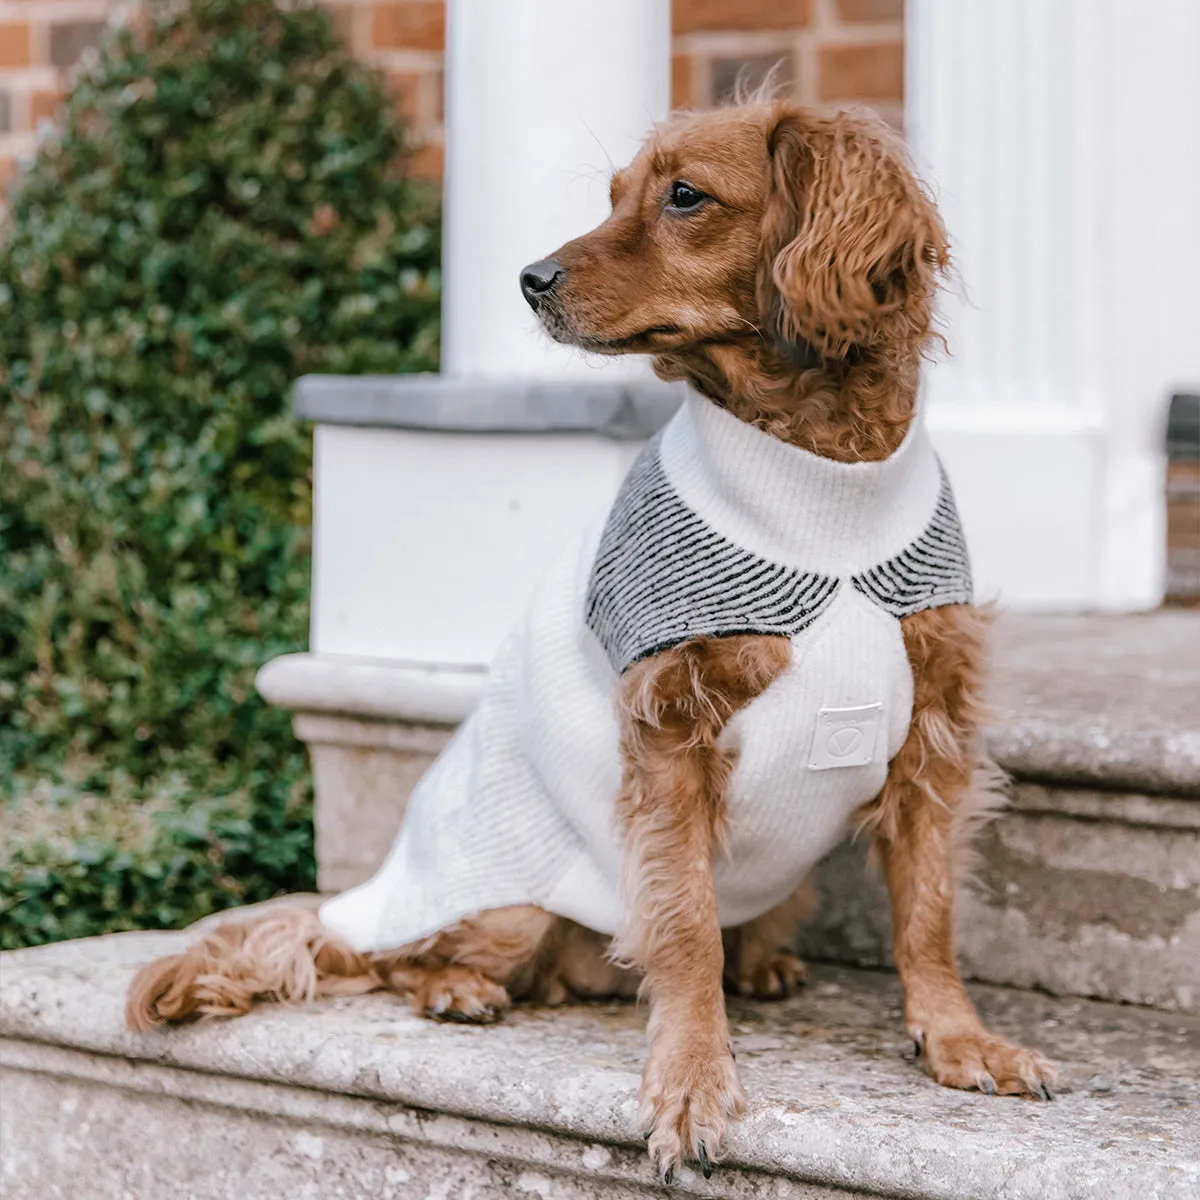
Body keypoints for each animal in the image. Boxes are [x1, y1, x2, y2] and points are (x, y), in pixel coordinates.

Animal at [129, 100, 1051, 1180]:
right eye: (614, 196)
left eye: (684, 195)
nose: (529, 279)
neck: (819, 481)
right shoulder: (669, 731)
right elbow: (686, 924)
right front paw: (692, 1080)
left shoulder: (932, 733)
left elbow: (930, 913)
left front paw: (959, 1039)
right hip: (504, 902)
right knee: (401, 960)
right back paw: (456, 988)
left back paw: (766, 964)